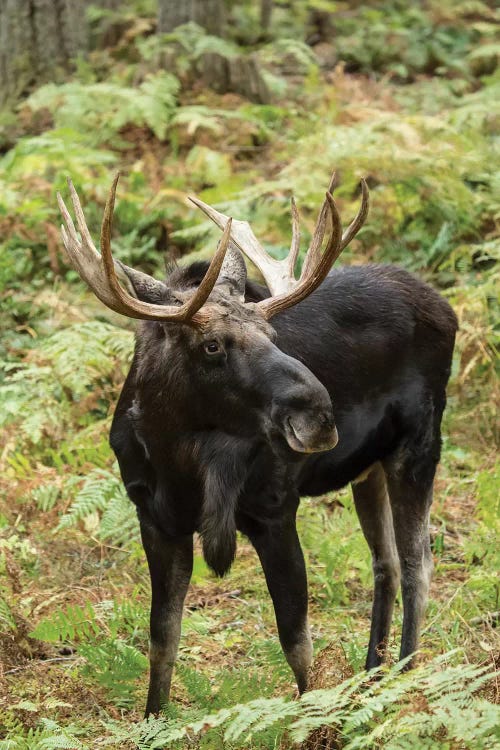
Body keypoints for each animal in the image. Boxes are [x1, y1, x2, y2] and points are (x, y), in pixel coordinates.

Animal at [56, 172, 456, 716]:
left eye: (271, 332)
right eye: (211, 345)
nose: (319, 414)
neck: (180, 462)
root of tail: (446, 307)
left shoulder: (274, 508)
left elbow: (297, 640)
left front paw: (315, 717)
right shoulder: (155, 518)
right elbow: (162, 640)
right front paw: (153, 720)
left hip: (419, 445)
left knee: (419, 564)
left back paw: (406, 678)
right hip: (367, 468)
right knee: (387, 563)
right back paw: (372, 674)